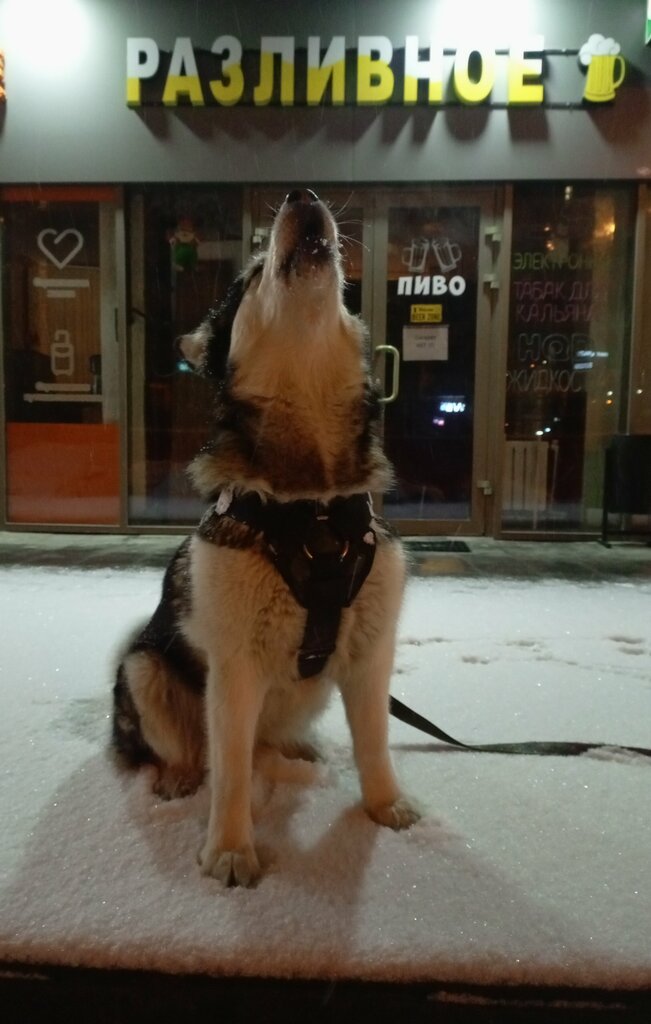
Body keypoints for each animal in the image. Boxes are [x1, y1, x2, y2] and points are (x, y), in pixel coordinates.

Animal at [112, 188, 420, 887]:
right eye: (250, 276)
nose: (302, 196)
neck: (314, 508)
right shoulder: (233, 670)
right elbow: (227, 773)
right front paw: (229, 850)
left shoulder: (371, 654)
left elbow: (375, 744)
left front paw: (384, 805)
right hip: (144, 667)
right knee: (195, 752)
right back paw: (178, 778)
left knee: (266, 746)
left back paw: (296, 754)